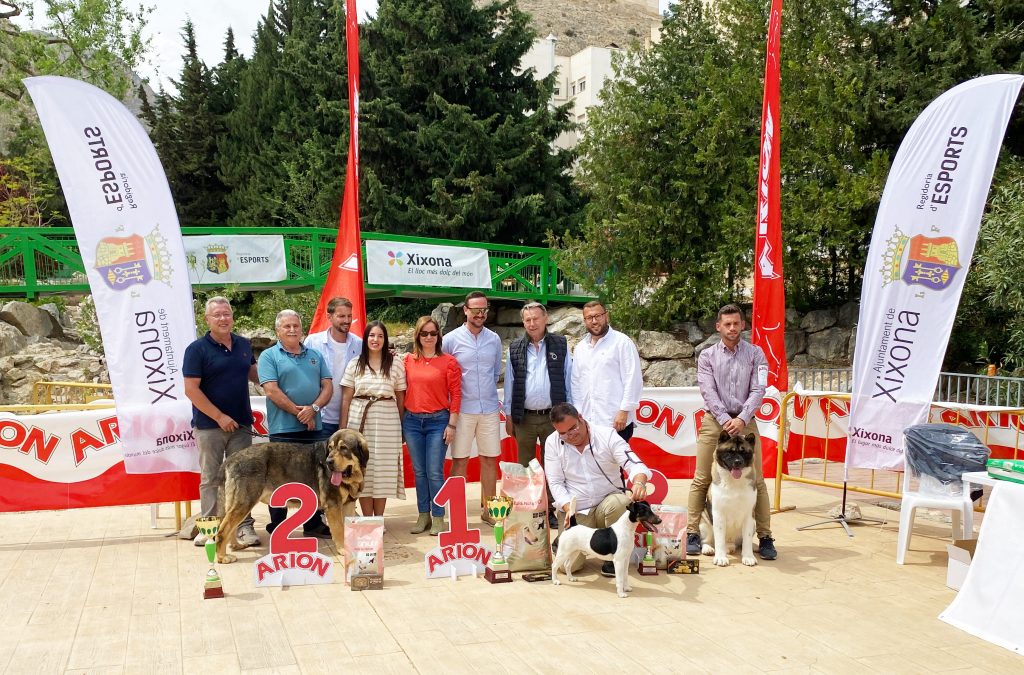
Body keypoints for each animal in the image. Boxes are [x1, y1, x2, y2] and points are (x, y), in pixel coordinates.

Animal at [700, 430, 757, 569]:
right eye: (729, 452)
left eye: (743, 452)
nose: (737, 462)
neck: (734, 482)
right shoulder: (718, 514)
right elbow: (719, 539)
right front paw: (721, 558)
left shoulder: (749, 515)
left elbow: (747, 539)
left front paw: (748, 557)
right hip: (704, 522)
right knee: (706, 540)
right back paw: (708, 549)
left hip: (754, 524)